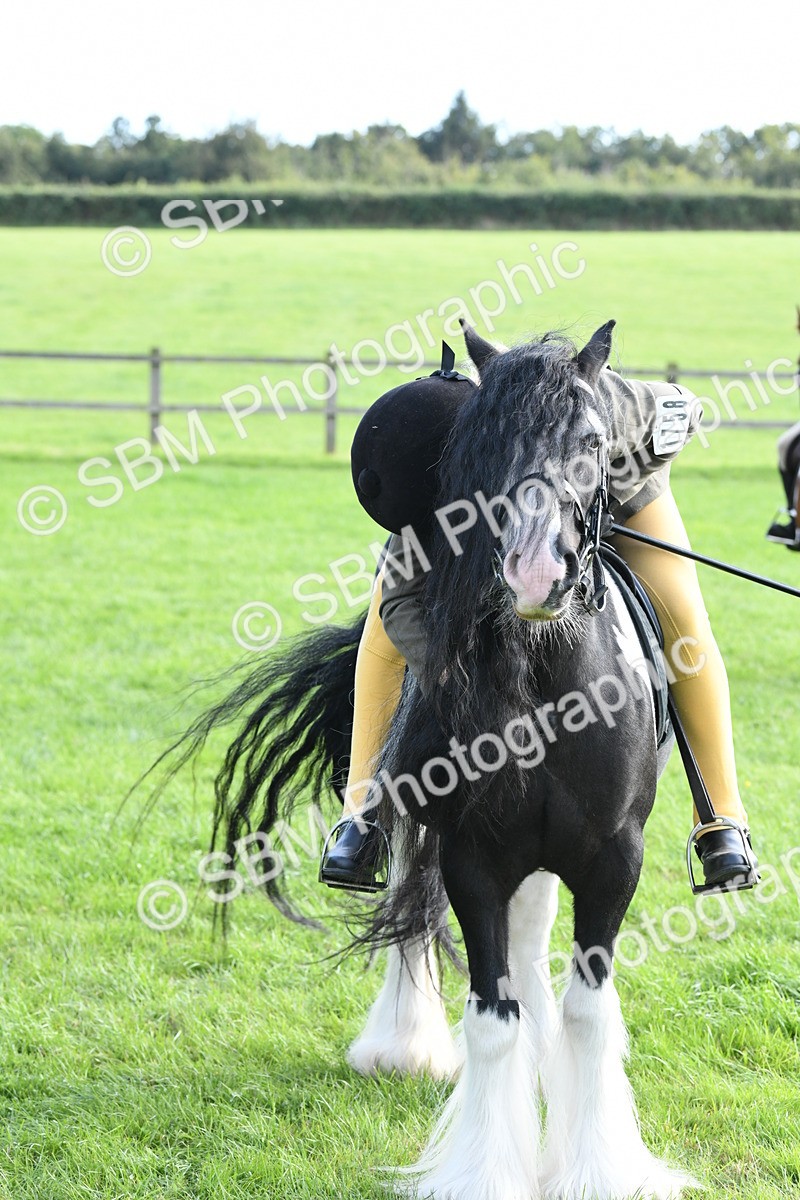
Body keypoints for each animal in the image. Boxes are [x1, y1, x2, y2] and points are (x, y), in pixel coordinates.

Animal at [151, 322, 694, 1199]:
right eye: (478, 450)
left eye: (591, 442)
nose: (534, 573)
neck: (544, 678)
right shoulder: (474, 853)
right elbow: (491, 1015)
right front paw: (488, 1169)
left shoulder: (613, 857)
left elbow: (587, 1010)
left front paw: (594, 1169)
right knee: (424, 905)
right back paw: (403, 1045)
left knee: (534, 950)